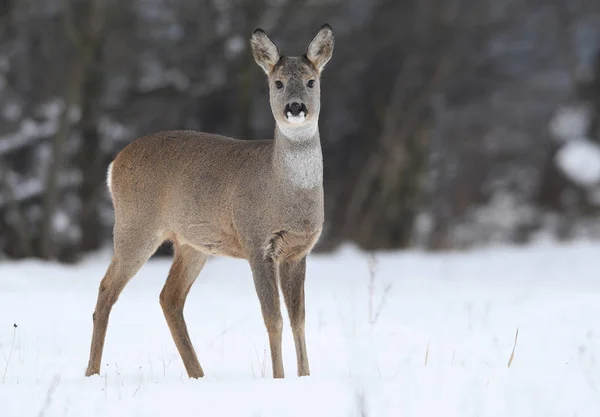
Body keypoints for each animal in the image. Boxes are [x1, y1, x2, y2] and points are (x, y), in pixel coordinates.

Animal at [85, 24, 336, 378]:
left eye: (312, 81)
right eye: (278, 82)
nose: (296, 107)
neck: (284, 192)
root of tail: (114, 164)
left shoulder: (299, 250)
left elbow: (299, 319)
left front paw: (304, 377)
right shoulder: (256, 241)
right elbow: (273, 319)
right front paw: (278, 378)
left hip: (192, 242)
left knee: (169, 297)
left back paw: (198, 374)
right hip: (136, 225)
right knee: (107, 289)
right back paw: (92, 372)